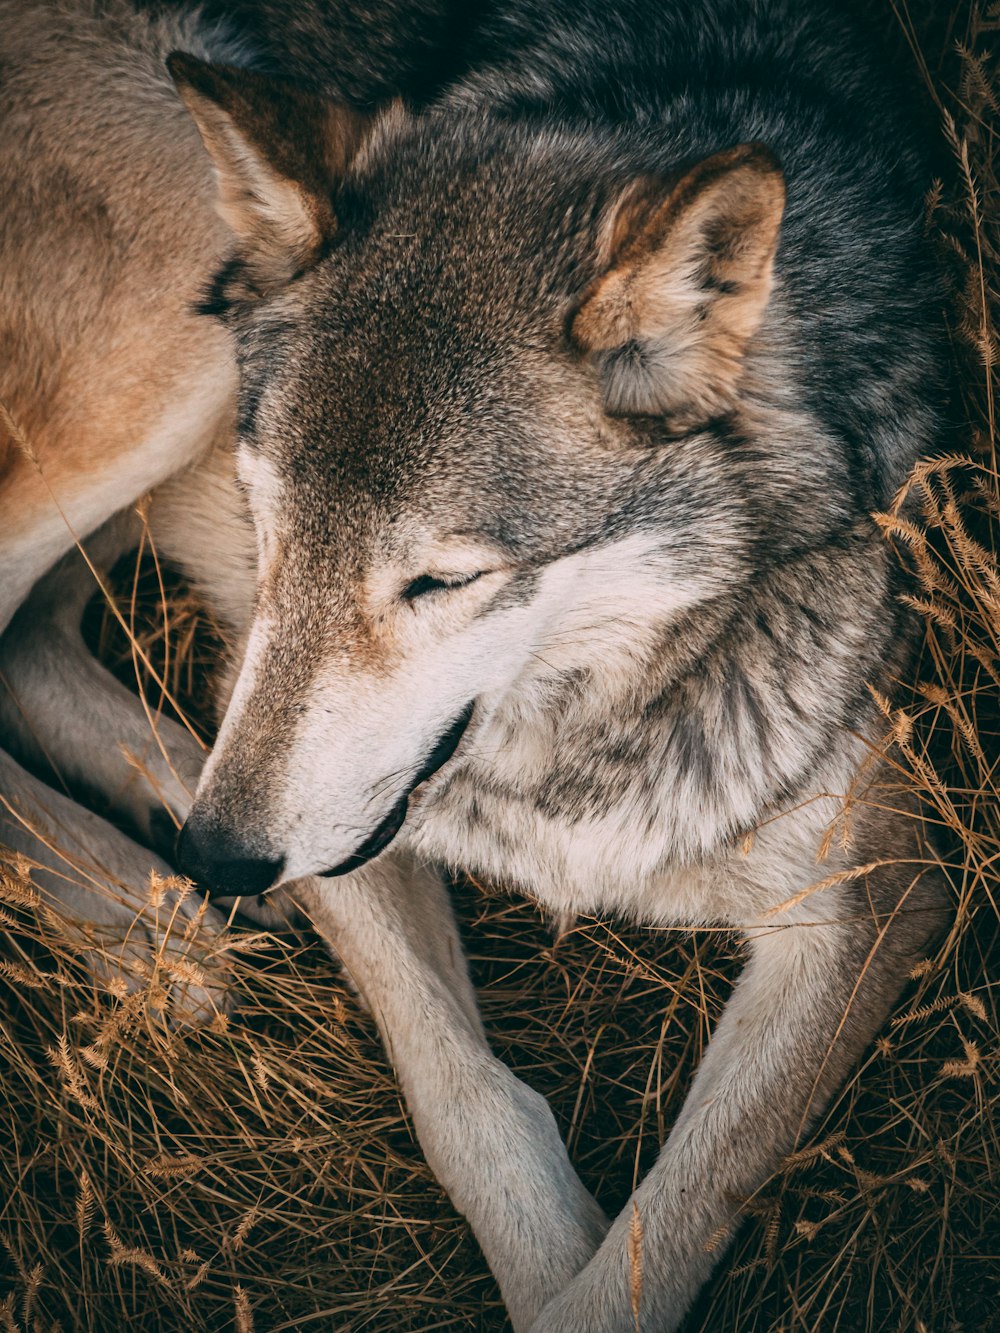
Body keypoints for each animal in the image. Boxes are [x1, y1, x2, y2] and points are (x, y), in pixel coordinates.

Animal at [0, 2, 949, 1333]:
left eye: (440, 582)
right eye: (269, 518)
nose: (226, 855)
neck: (568, 746)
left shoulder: (874, 896)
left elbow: (663, 1233)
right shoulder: (336, 825)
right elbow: (467, 1098)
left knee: (36, 641)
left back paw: (163, 888)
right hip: (171, 325)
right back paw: (156, 927)